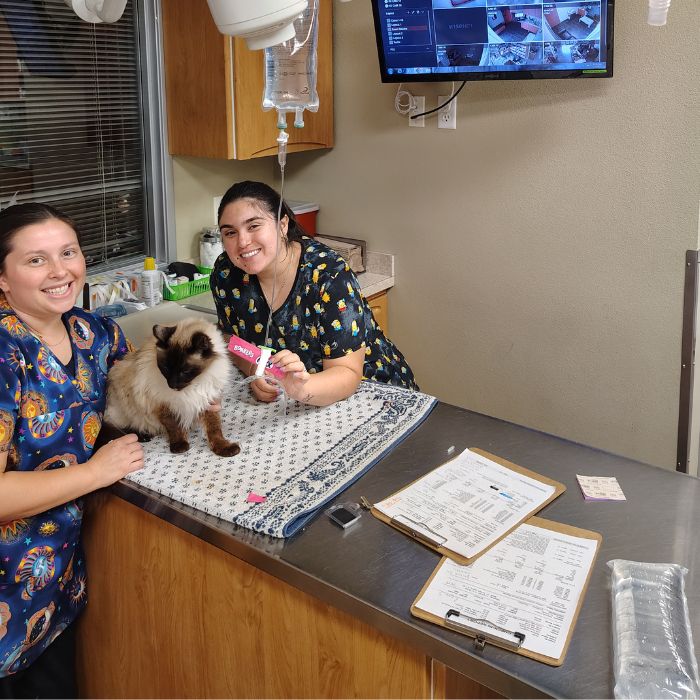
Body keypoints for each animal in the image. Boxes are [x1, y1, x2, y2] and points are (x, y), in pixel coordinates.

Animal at [104, 314, 241, 456]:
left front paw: (224, 448)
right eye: (166, 368)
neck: (194, 385)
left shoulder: (208, 402)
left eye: (185, 371)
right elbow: (174, 427)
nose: (172, 384)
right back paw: (143, 436)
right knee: (118, 426)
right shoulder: (164, 405)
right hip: (125, 406)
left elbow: (214, 429)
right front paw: (180, 446)